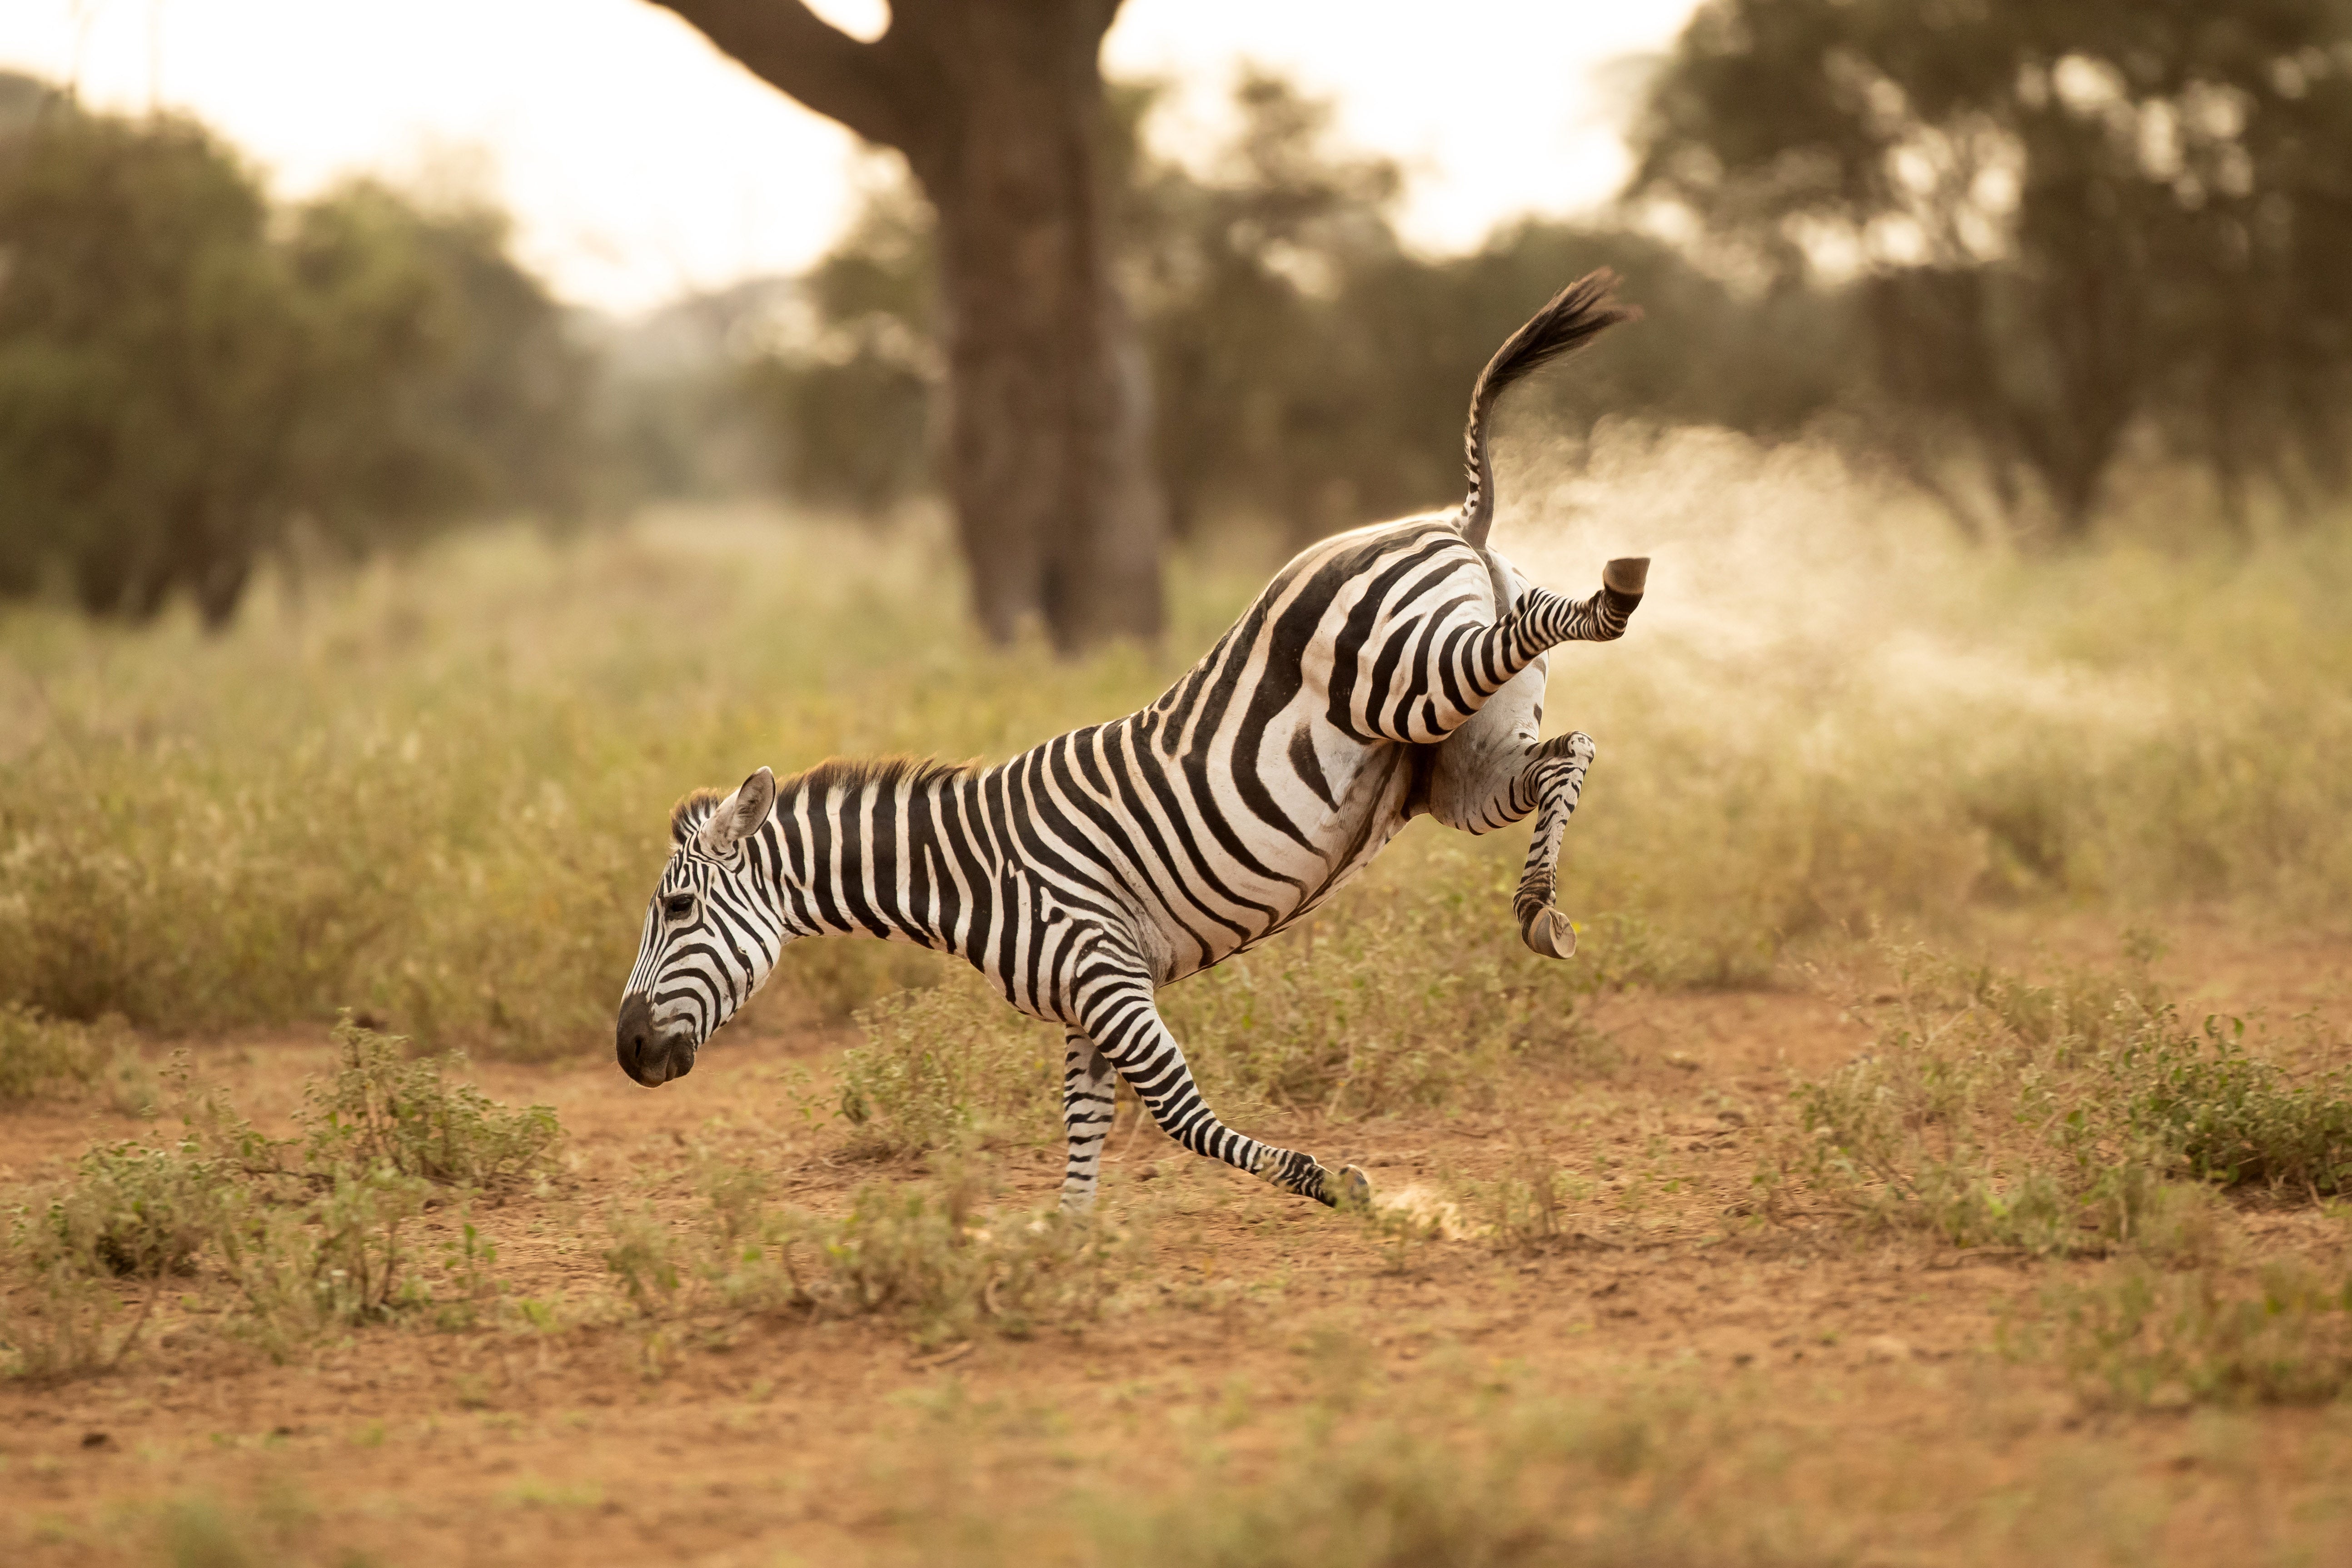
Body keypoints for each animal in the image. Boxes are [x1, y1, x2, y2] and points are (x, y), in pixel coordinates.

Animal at [616, 271, 1647, 1214]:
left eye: (675, 908)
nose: (626, 1052)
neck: (964, 873)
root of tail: (1443, 521)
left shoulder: (1104, 973)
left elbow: (1181, 1118)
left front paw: (1334, 1182)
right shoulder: (1086, 1003)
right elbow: (1084, 1128)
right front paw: (1065, 1249)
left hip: (1402, 678)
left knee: (1542, 642)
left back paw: (1619, 588)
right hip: (1455, 763)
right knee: (1567, 749)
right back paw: (1540, 908)